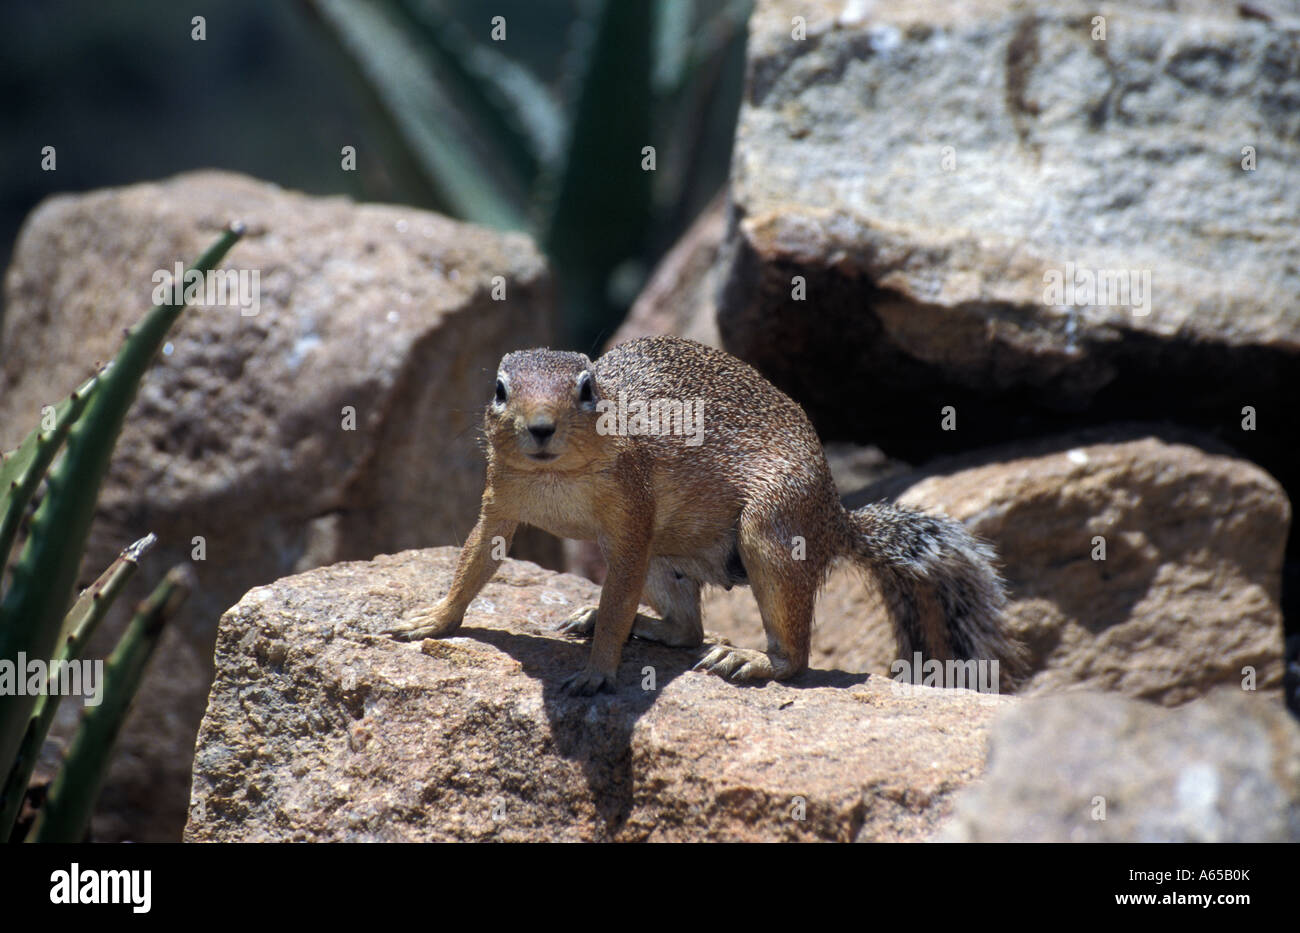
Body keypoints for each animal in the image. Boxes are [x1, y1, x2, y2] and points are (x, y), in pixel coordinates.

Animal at [384, 335, 1024, 696]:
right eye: (499, 389)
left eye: (587, 389)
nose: (540, 427)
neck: (554, 478)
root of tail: (832, 520)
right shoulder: (500, 501)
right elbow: (474, 561)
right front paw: (432, 620)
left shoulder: (633, 512)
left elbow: (617, 598)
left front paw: (598, 671)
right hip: (667, 563)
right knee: (686, 629)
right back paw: (629, 623)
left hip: (771, 530)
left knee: (794, 655)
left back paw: (750, 658)